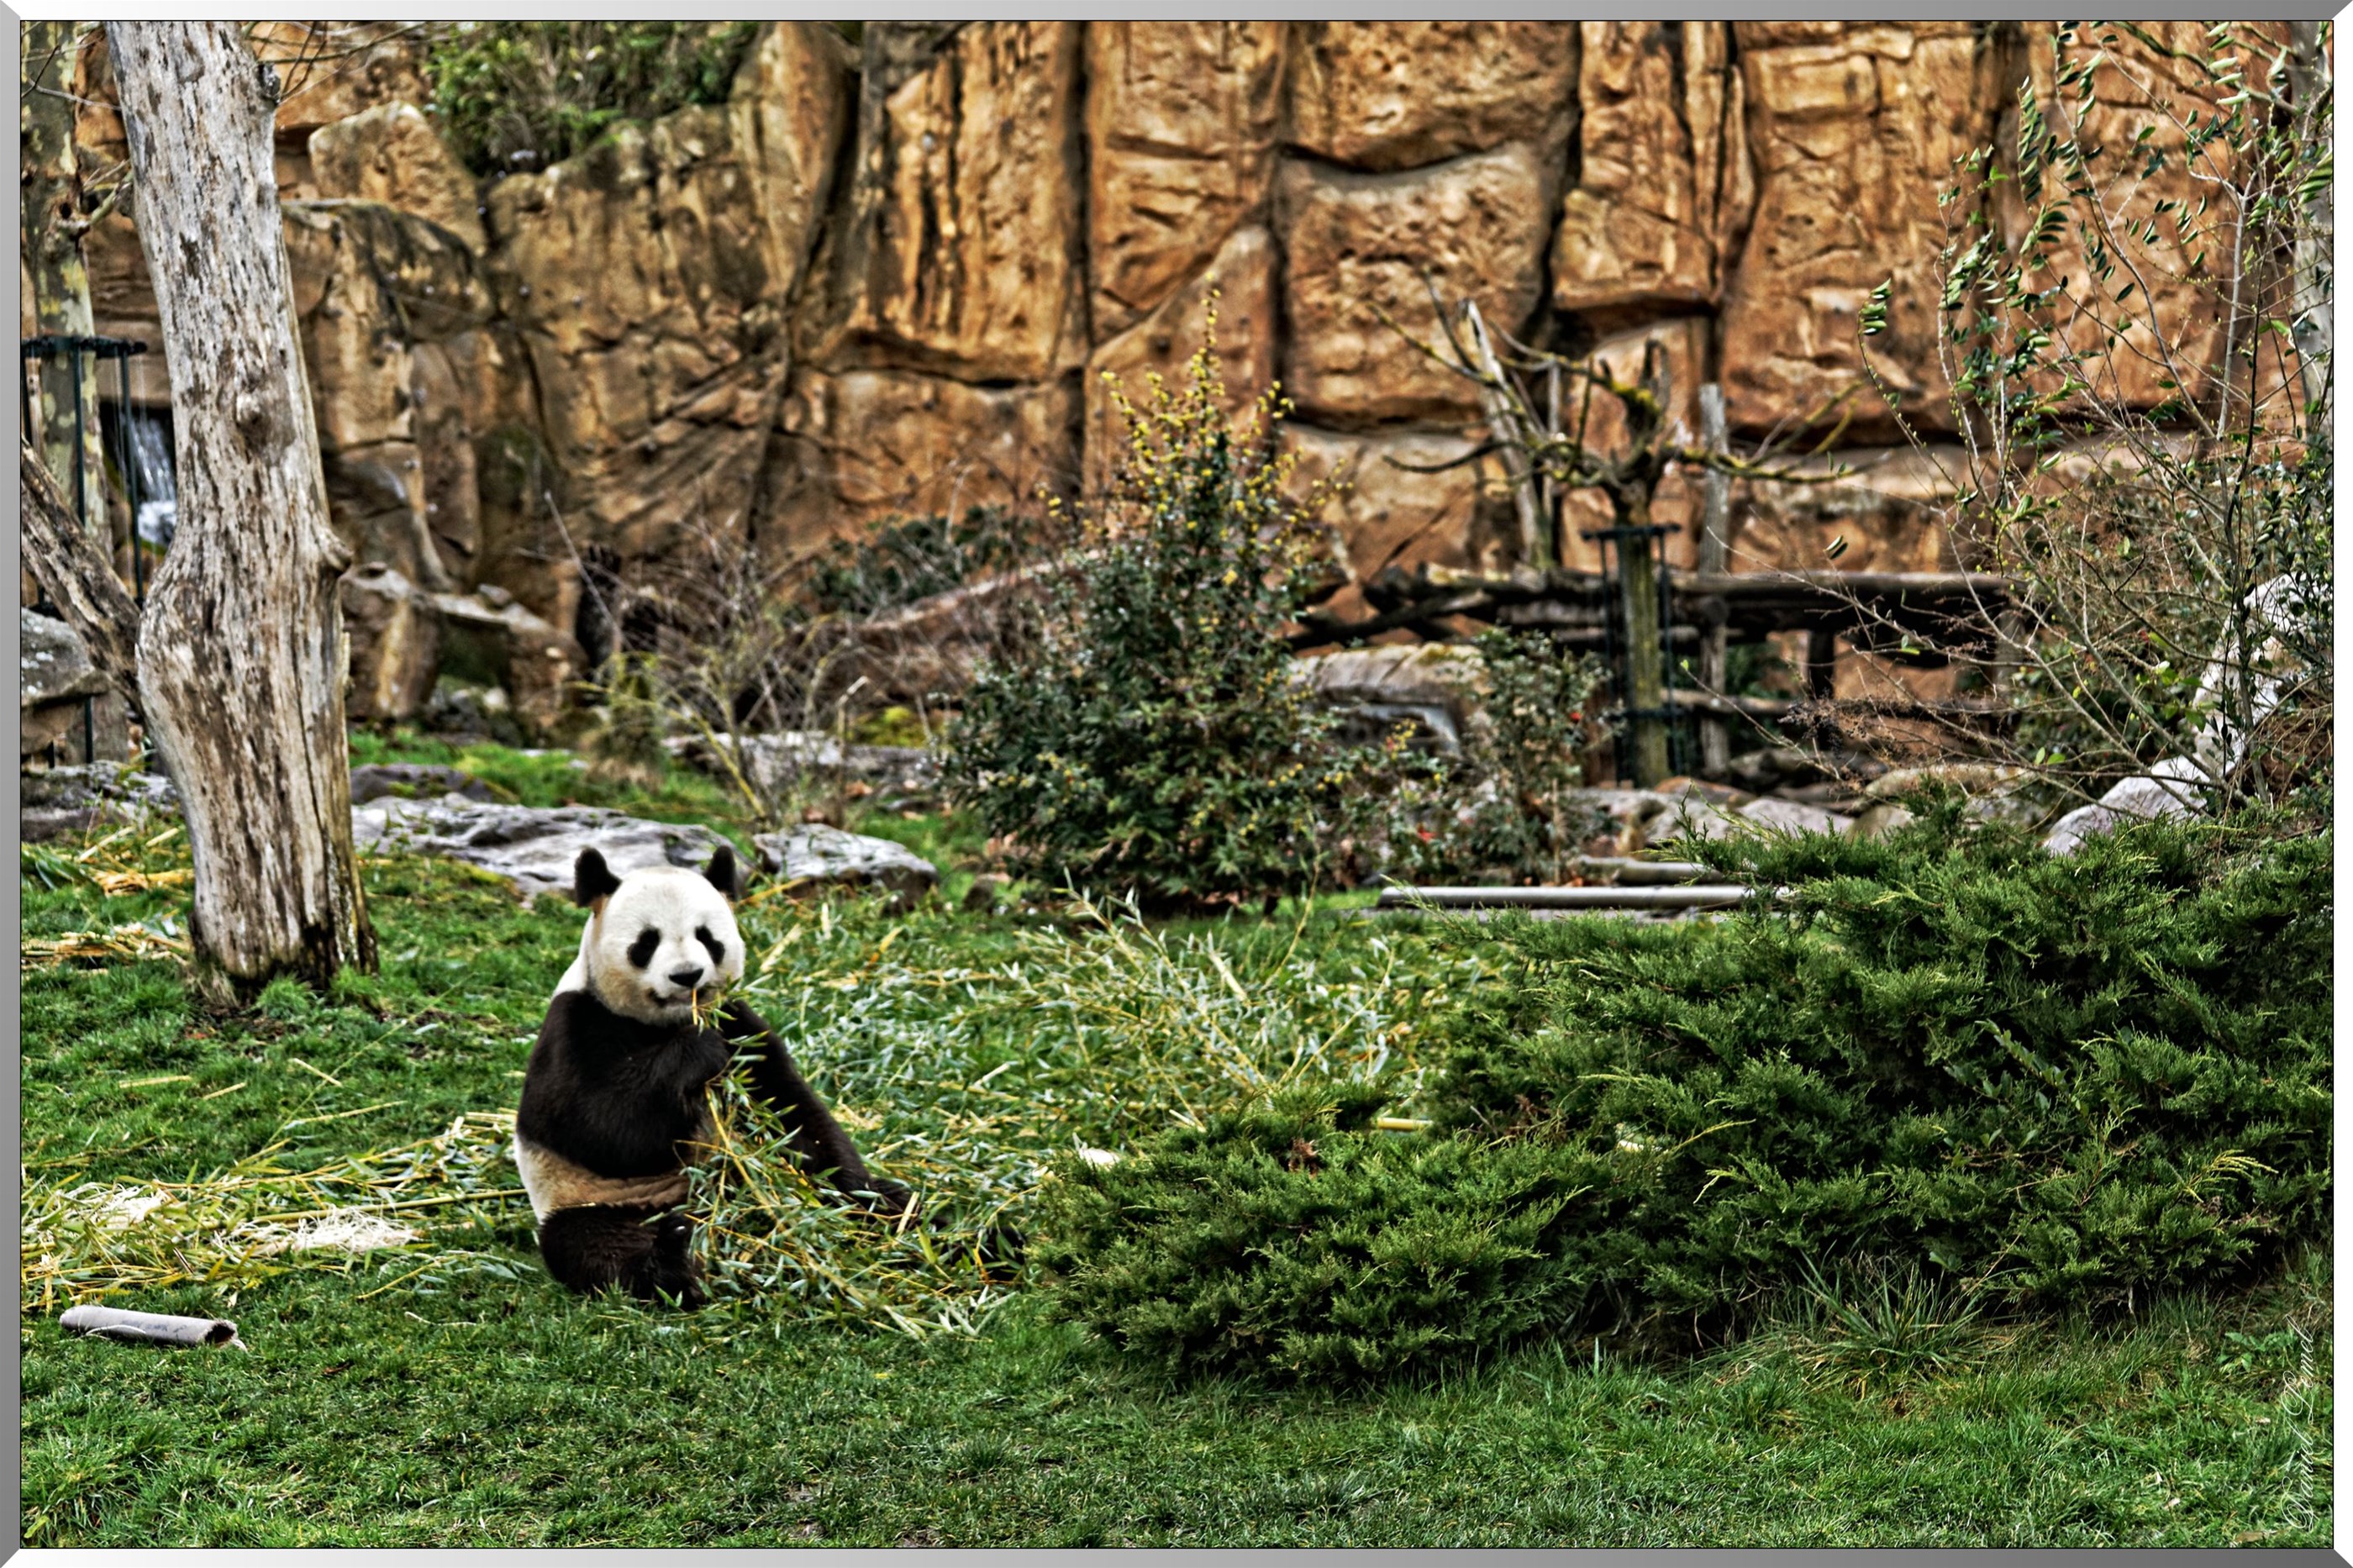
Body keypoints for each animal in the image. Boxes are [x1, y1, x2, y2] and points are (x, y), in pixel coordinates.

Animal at [514, 842, 903, 1306]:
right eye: (647, 941)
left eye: (706, 937)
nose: (687, 975)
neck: (671, 1022)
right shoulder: (578, 1023)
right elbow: (597, 1126)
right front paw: (698, 1052)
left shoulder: (740, 1024)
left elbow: (792, 1112)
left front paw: (850, 1187)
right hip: (599, 1202)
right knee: (596, 1245)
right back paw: (672, 1257)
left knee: (900, 1204)